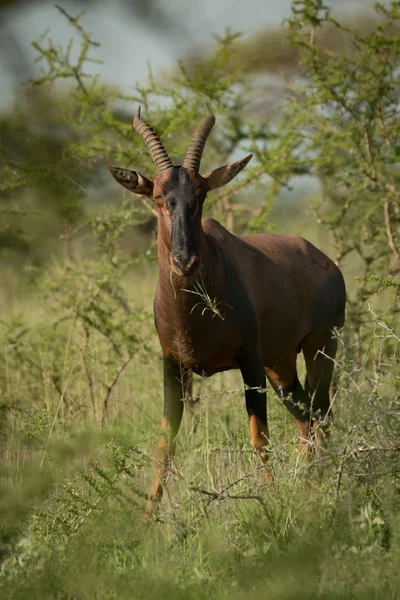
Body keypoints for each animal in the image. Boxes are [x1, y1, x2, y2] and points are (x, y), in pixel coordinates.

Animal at [108, 106, 346, 510]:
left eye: (201, 194)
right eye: (158, 196)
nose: (184, 260)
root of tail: (324, 260)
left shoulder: (249, 360)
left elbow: (259, 438)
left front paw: (270, 500)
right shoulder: (172, 365)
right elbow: (164, 444)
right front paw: (147, 516)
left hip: (319, 347)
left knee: (321, 413)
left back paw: (318, 484)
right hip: (279, 365)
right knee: (305, 417)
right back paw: (308, 484)